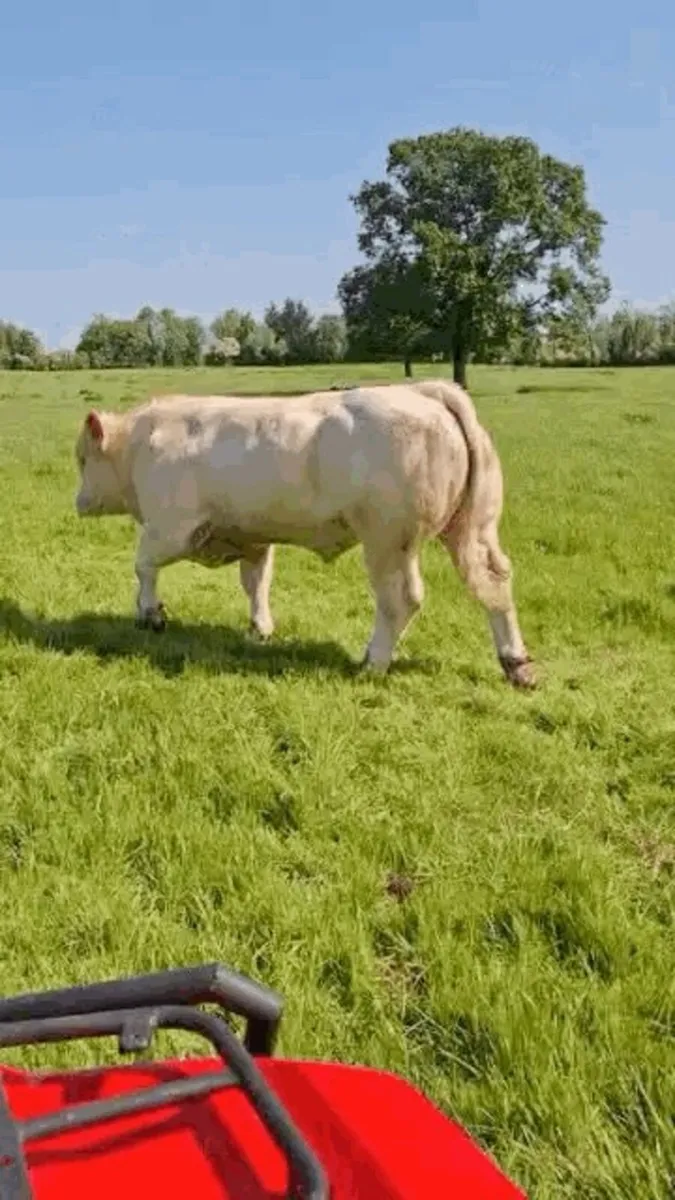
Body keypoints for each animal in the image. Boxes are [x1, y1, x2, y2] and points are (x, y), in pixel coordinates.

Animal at [74, 380, 535, 688]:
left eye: (82, 459)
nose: (78, 502)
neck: (139, 444)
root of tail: (424, 391)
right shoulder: (254, 537)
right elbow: (256, 583)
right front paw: (260, 628)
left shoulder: (173, 527)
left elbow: (144, 565)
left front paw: (150, 613)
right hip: (472, 530)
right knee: (495, 583)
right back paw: (516, 663)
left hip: (388, 542)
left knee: (401, 600)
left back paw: (372, 662)